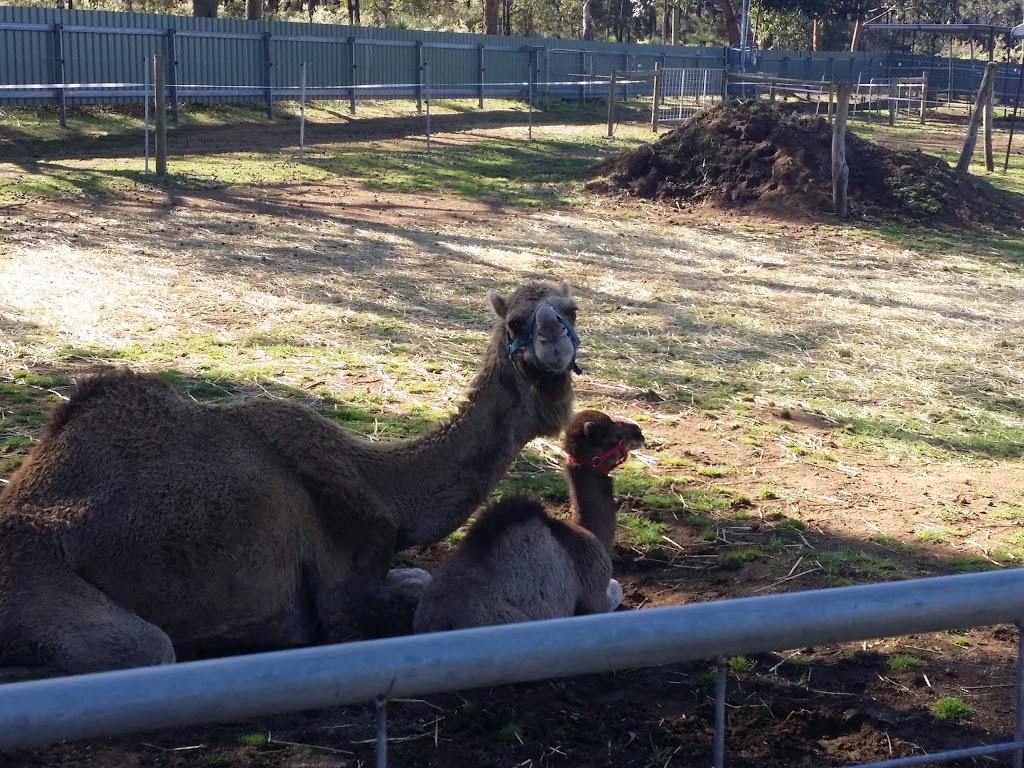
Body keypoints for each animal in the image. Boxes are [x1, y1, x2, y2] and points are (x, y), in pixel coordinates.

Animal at [411, 409, 643, 630]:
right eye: (616, 435)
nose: (638, 432)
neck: (589, 532)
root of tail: (438, 621)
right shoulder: (594, 598)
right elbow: (614, 590)